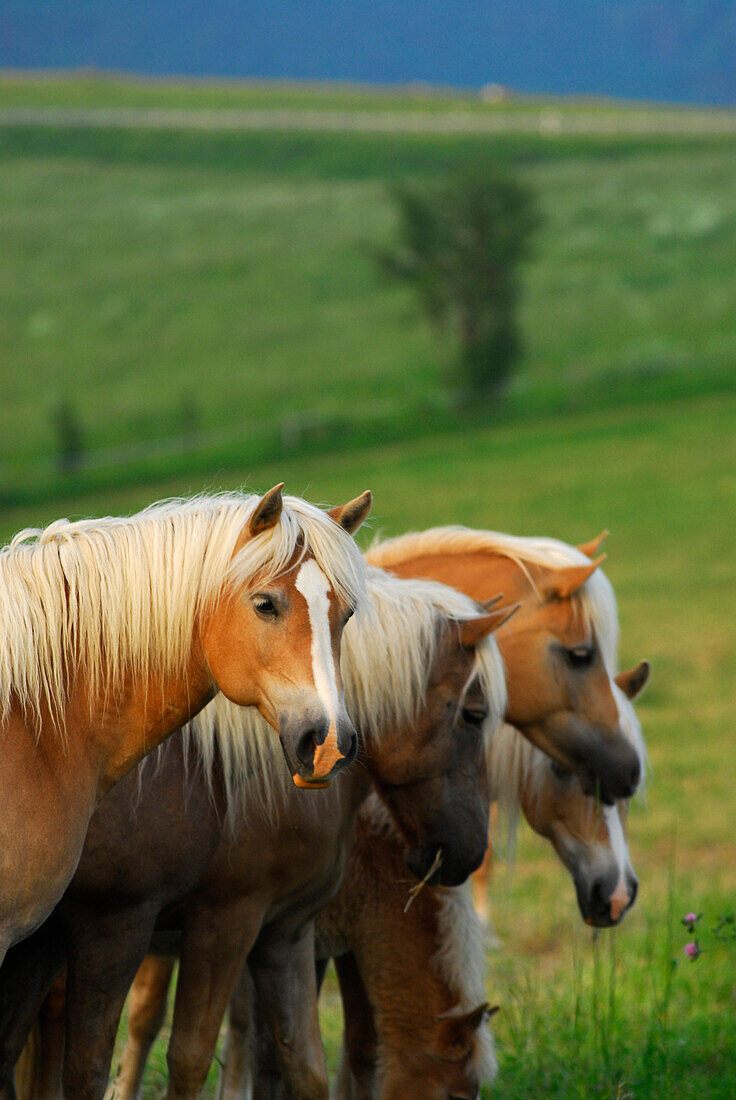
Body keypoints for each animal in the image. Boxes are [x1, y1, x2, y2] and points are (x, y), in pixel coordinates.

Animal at [2, 563, 508, 1095]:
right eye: (474, 715)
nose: (471, 851)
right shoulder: (196, 920)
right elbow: (194, 1050)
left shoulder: (287, 929)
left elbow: (302, 1062)